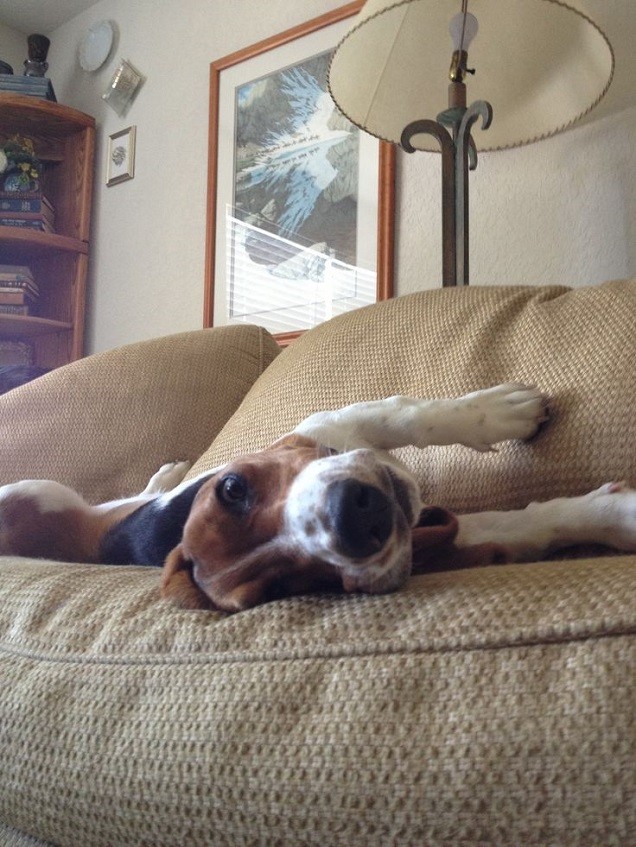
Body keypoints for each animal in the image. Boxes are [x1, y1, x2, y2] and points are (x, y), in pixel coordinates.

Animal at [0, 388, 632, 612]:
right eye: (287, 586)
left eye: (233, 489)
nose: (350, 518)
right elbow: (528, 525)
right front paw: (618, 515)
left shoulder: (329, 425)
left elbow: (404, 413)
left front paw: (499, 412)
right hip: (35, 492)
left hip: (41, 489)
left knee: (134, 494)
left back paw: (165, 473)